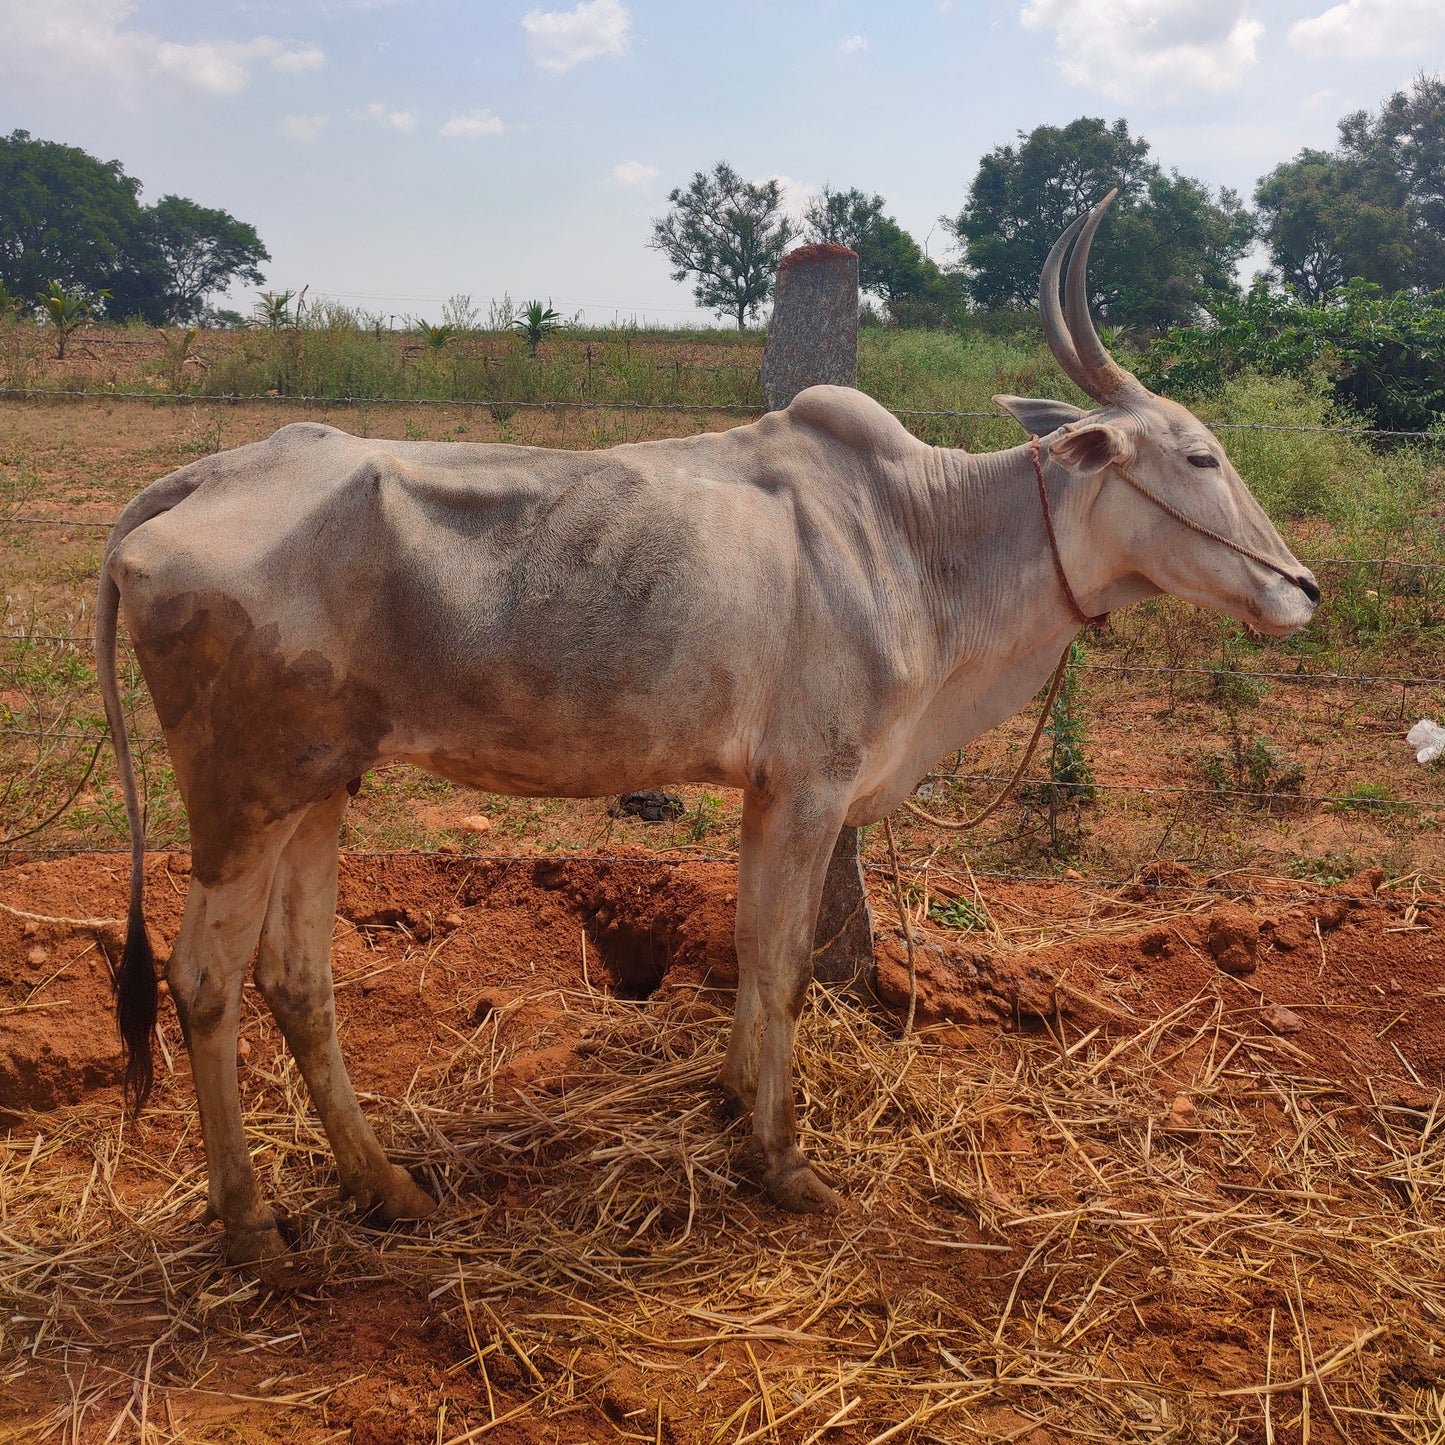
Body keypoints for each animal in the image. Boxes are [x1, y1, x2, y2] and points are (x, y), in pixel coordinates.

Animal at [98, 195, 1323, 1265]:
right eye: (1199, 456)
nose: (1301, 588)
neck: (920, 535)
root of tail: (208, 473)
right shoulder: (812, 784)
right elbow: (781, 962)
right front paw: (781, 1159)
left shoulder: (765, 790)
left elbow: (745, 946)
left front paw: (733, 1098)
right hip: (242, 797)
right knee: (202, 977)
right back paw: (250, 1224)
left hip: (321, 785)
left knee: (295, 977)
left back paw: (383, 1183)